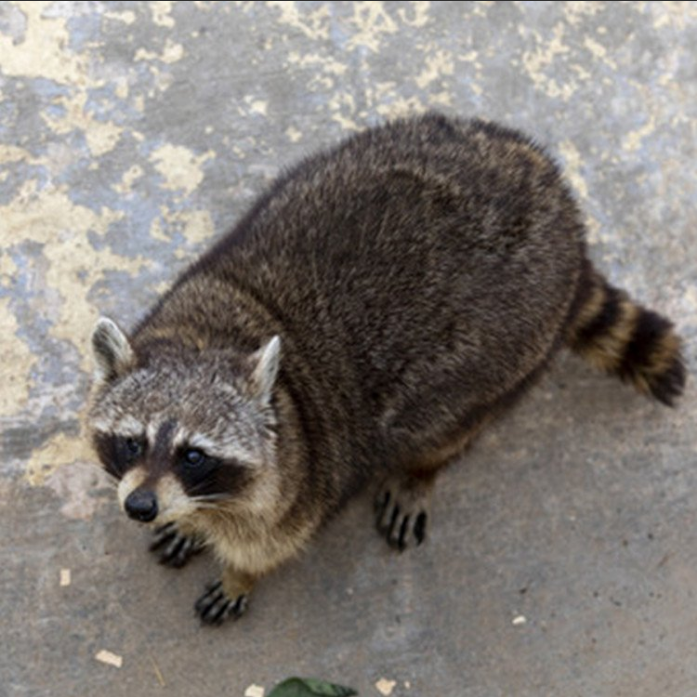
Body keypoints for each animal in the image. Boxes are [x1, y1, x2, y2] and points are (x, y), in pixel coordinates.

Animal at [88, 113, 685, 625]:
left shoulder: (305, 476)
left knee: (449, 424)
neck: (210, 338)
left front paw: (239, 574)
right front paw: (188, 522)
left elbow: (268, 544)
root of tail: (570, 223)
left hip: (514, 348)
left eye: (194, 455)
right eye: (132, 442)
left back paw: (421, 470)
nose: (141, 506)